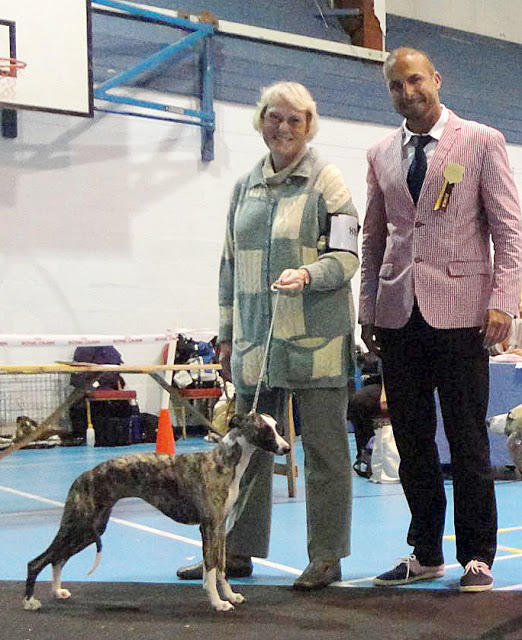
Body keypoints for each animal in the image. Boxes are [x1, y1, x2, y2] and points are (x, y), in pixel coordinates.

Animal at [23, 412, 290, 613]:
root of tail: (83, 476)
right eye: (266, 430)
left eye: (277, 427)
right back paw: (30, 601)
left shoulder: (220, 526)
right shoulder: (210, 526)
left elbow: (221, 567)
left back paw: (57, 591)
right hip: (77, 524)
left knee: (58, 558)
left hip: (91, 528)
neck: (223, 462)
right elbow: (212, 568)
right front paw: (218, 603)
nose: (286, 448)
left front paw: (231, 596)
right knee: (38, 561)